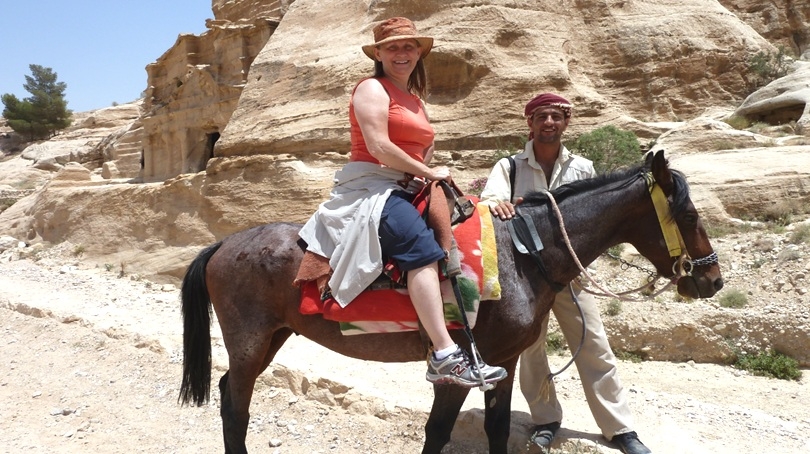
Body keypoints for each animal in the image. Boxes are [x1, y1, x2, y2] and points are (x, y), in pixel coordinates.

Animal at [181, 152, 720, 454]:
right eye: (690, 214)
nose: (712, 279)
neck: (523, 255)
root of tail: (224, 244)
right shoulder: (457, 372)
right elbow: (437, 433)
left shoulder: (503, 364)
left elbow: (498, 431)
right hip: (250, 342)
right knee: (235, 404)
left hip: (272, 337)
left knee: (231, 394)